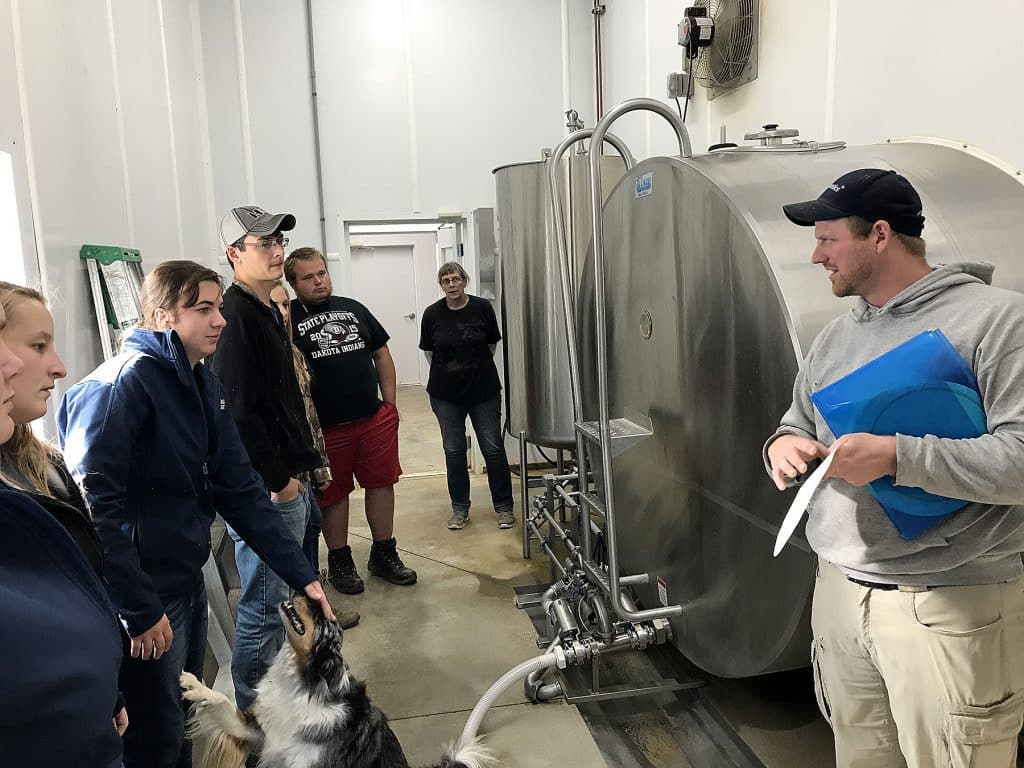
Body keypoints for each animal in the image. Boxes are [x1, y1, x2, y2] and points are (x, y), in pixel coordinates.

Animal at [181, 602, 495, 768]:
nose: (311, 594)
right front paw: (195, 685)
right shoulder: (260, 734)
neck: (304, 685)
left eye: (323, 619)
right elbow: (223, 704)